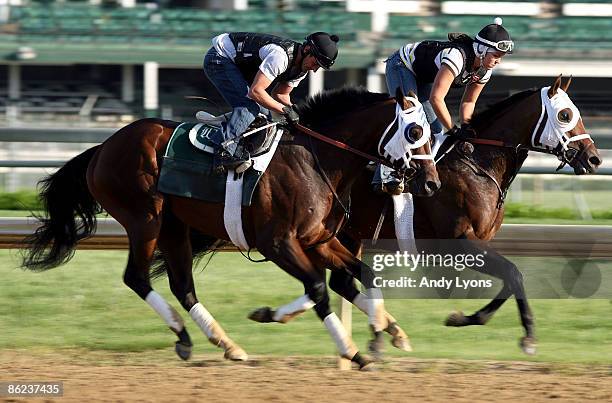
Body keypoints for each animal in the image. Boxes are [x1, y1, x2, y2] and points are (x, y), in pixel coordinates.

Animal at [19, 87, 440, 370]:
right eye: (415, 132)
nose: (431, 183)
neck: (316, 159)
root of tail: (103, 147)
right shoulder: (278, 243)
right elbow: (318, 288)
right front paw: (353, 351)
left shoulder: (319, 240)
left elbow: (362, 274)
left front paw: (384, 332)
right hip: (144, 220)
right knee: (137, 277)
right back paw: (188, 335)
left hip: (174, 227)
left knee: (182, 286)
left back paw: (223, 343)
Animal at [249, 76, 604, 356]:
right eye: (566, 114)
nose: (595, 159)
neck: (478, 164)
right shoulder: (459, 241)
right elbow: (514, 274)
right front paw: (527, 337)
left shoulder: (477, 243)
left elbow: (509, 278)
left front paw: (465, 318)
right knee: (334, 281)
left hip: (343, 233)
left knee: (338, 281)